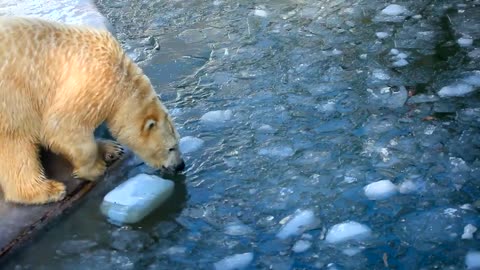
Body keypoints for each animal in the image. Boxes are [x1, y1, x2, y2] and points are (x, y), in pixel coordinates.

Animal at [0, 16, 184, 204]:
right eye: (171, 147)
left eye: (178, 141)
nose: (180, 166)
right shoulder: (90, 84)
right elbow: (62, 127)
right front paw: (95, 168)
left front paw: (111, 149)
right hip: (12, 100)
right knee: (16, 145)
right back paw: (48, 189)